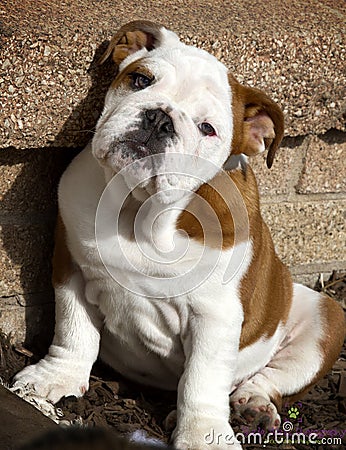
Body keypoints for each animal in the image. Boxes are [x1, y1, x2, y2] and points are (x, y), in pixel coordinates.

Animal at [12, 19, 344, 448]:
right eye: (140, 79)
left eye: (207, 129)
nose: (159, 118)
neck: (139, 210)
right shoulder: (71, 267)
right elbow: (73, 330)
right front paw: (54, 377)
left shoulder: (214, 316)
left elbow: (202, 379)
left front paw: (203, 434)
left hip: (326, 316)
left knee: (270, 378)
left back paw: (253, 405)